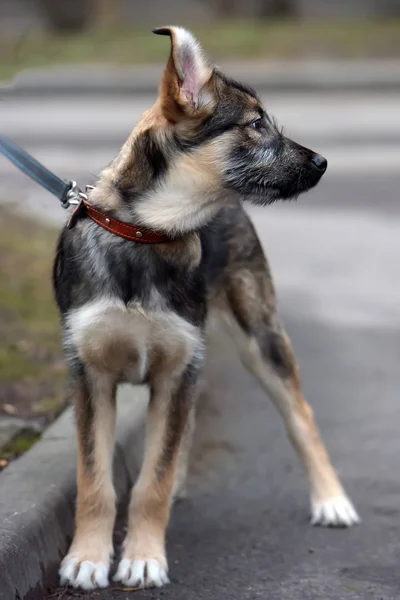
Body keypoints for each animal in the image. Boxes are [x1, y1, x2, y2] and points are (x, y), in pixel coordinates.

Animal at [54, 27, 360, 592]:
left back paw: (331, 500)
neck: (148, 234)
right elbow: (96, 480)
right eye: (256, 124)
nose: (322, 163)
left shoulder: (177, 367)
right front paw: (87, 558)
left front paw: (143, 557)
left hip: (259, 335)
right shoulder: (92, 375)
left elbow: (150, 481)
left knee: (300, 416)